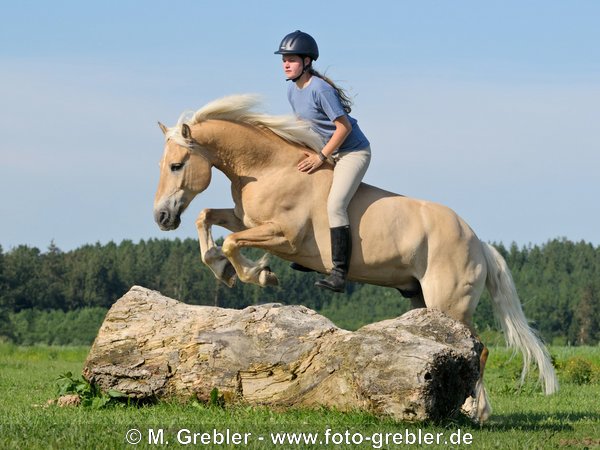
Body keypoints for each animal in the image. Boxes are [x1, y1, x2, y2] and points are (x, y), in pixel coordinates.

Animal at [154, 95, 556, 422]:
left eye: (176, 166)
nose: (161, 217)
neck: (268, 168)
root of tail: (478, 242)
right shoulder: (246, 220)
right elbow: (206, 217)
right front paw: (223, 269)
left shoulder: (283, 235)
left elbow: (233, 242)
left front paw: (256, 274)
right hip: (421, 300)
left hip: (449, 302)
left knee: (478, 350)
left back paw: (477, 413)